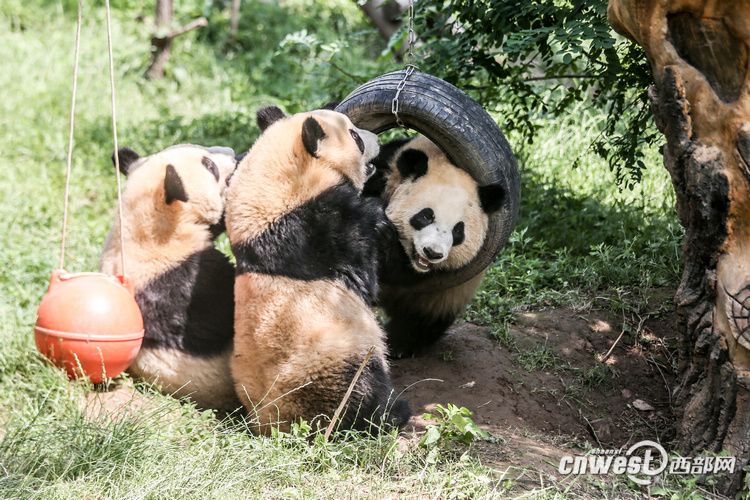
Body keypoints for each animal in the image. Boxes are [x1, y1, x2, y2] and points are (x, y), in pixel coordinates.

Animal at [229, 106, 414, 438]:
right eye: (354, 136)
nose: (377, 139)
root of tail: (273, 424)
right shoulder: (315, 227)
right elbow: (366, 267)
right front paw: (379, 216)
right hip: (330, 358)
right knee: (358, 390)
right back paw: (391, 414)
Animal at [336, 69, 520, 290]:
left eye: (458, 230)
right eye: (426, 216)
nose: (432, 252)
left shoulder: (427, 274)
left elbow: (402, 274)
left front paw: (383, 236)